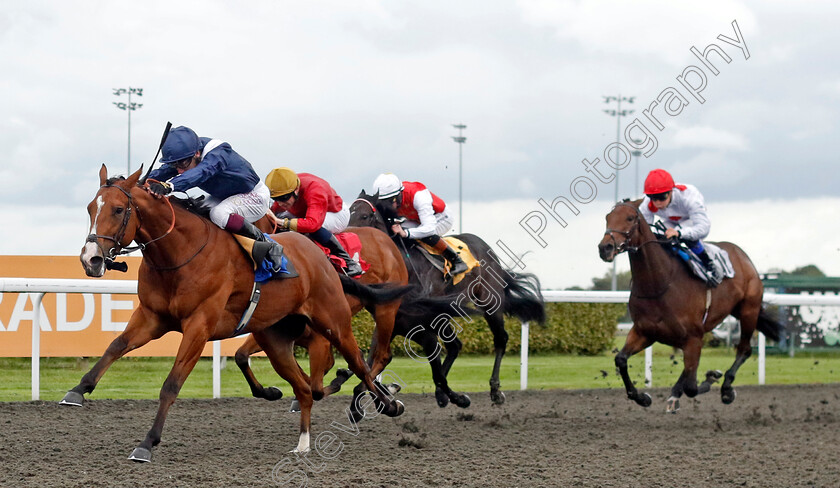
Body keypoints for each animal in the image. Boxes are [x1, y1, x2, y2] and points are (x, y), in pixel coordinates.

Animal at [65, 165, 406, 462]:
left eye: (118, 210)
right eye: (90, 209)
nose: (91, 259)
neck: (179, 253)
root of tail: (321, 258)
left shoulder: (199, 326)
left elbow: (172, 384)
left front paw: (147, 443)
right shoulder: (152, 317)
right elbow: (115, 346)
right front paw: (78, 390)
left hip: (334, 323)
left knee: (360, 364)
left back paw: (388, 404)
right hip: (275, 339)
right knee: (305, 390)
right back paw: (303, 442)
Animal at [346, 189, 548, 406]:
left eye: (365, 216)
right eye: (349, 212)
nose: (347, 237)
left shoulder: (426, 321)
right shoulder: (393, 321)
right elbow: (372, 359)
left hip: (489, 302)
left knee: (499, 339)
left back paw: (494, 390)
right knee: (454, 346)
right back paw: (443, 394)